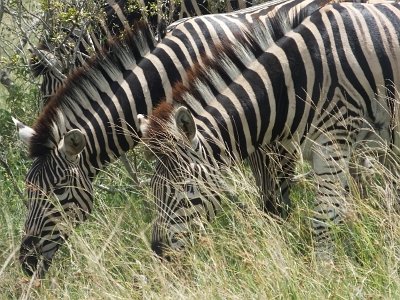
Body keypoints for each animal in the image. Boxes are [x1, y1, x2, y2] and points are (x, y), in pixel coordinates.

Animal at [139, 1, 400, 258]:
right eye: (153, 188)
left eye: (185, 188)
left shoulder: (333, 144)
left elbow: (323, 220)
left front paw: (325, 267)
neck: (294, 84)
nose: (159, 252)